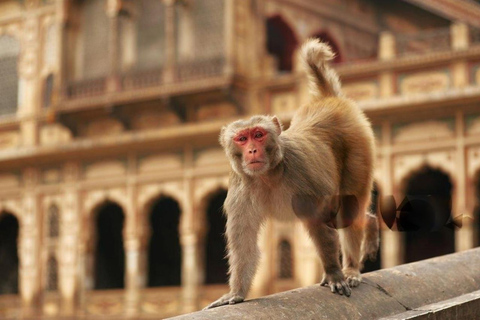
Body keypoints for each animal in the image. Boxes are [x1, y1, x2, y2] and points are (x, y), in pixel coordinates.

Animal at [204, 38, 380, 310]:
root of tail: (328, 100)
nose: (252, 150)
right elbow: (244, 242)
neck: (269, 175)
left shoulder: (303, 177)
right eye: (242, 138)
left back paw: (350, 268)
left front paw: (334, 273)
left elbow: (320, 224)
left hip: (359, 145)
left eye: (258, 134)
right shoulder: (241, 190)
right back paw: (370, 225)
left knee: (349, 209)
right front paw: (236, 293)